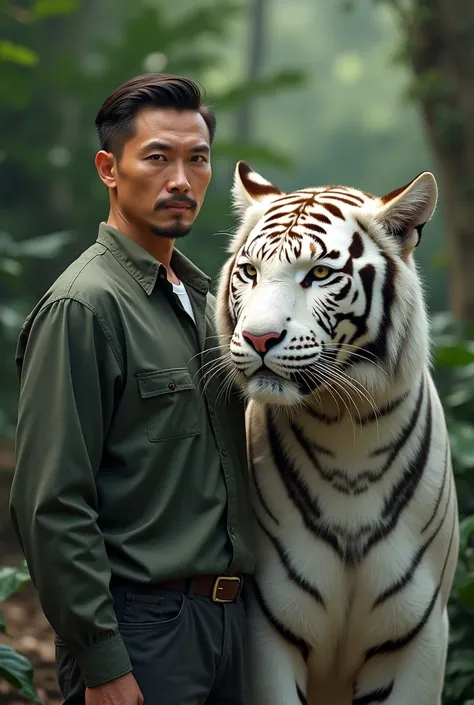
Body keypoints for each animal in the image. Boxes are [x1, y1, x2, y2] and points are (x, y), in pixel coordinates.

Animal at [215, 161, 460, 704]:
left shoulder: (418, 635)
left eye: (320, 274)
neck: (347, 428)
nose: (259, 338)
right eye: (250, 272)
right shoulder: (267, 623)